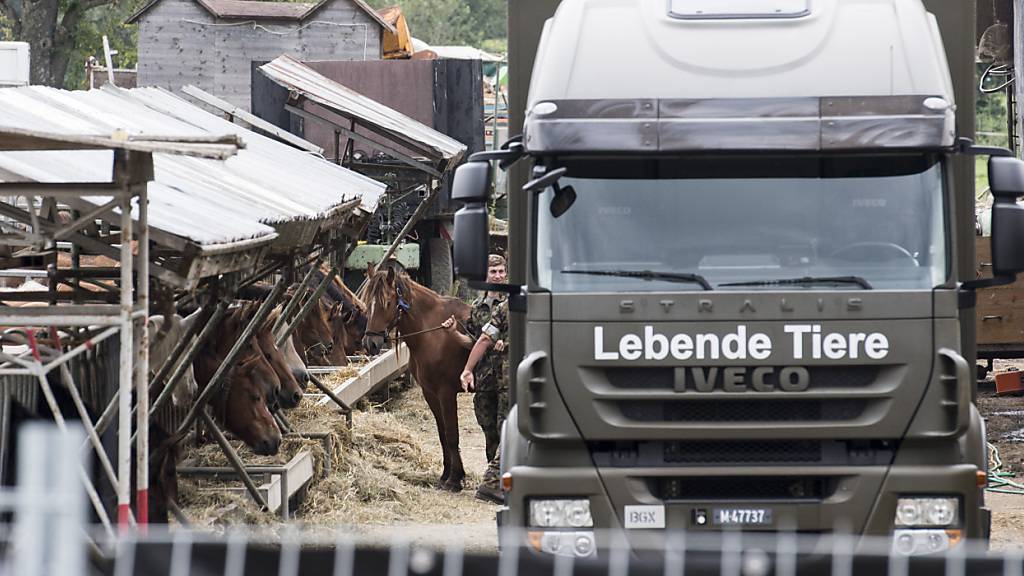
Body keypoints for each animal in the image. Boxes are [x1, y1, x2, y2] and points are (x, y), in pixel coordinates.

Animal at [360, 260, 471, 487]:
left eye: (387, 303)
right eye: (368, 303)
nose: (370, 343)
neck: (434, 333)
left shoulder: (446, 393)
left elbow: (452, 434)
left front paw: (455, 479)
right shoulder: (430, 393)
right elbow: (442, 434)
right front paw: (446, 474)